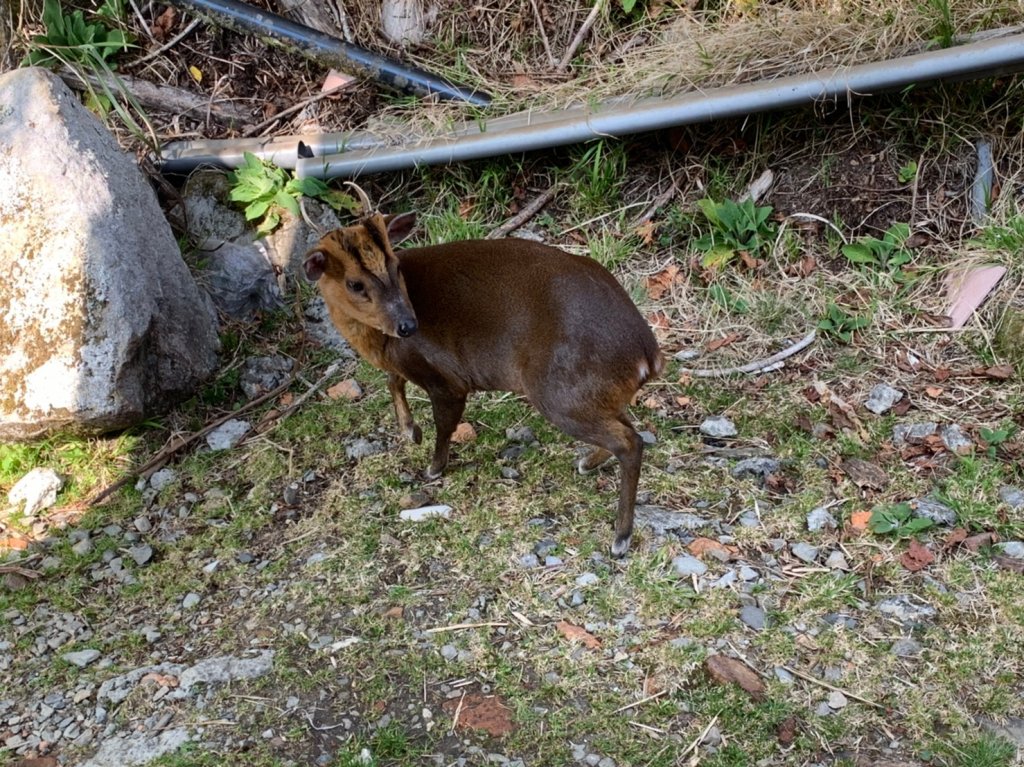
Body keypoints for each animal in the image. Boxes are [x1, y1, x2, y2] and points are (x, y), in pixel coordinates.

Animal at [303, 209, 663, 557]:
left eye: (395, 266)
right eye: (355, 284)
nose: (408, 325)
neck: (380, 343)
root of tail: (648, 354)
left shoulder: (447, 379)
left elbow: (443, 424)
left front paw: (433, 468)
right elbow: (394, 380)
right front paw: (410, 431)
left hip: (560, 394)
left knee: (630, 442)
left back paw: (620, 538)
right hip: (595, 394)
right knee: (626, 426)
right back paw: (588, 463)